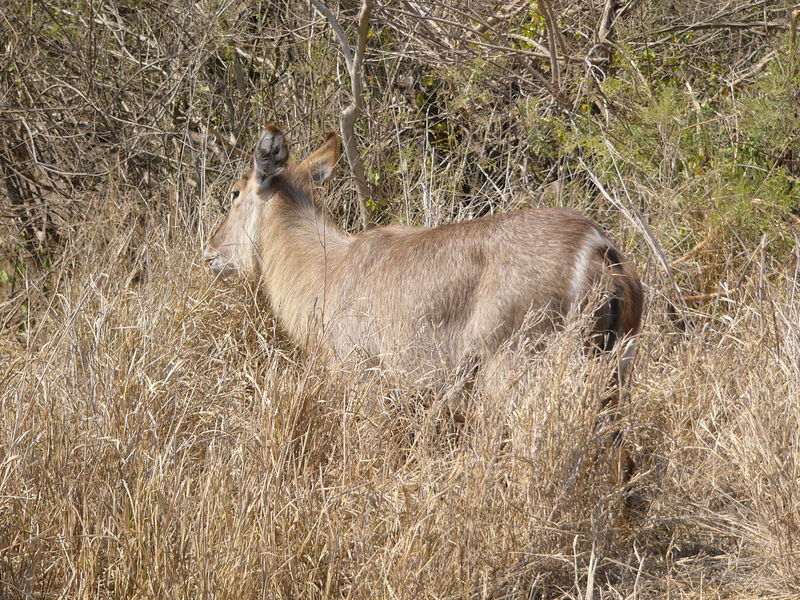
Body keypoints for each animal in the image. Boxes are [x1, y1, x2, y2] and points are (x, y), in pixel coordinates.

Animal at [202, 127, 644, 390]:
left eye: (234, 193)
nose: (209, 251)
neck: (326, 266)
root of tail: (599, 247)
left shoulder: (360, 375)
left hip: (515, 371)